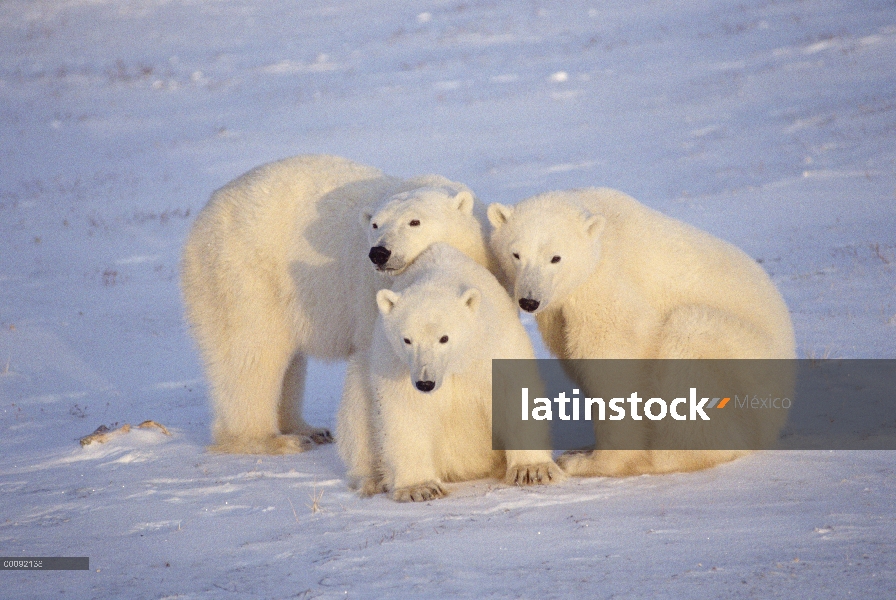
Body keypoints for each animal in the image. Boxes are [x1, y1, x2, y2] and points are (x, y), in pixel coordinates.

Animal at [179, 155, 494, 454]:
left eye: (414, 221)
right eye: (375, 225)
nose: (379, 252)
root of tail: (204, 216)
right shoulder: (371, 295)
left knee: (288, 362)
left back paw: (308, 429)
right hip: (244, 274)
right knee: (251, 352)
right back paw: (270, 440)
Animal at [334, 244, 560, 502]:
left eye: (444, 338)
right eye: (407, 339)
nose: (425, 383)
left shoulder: (491, 346)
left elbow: (513, 394)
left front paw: (532, 470)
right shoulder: (397, 363)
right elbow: (405, 410)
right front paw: (420, 488)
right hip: (363, 375)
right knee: (356, 410)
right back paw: (372, 481)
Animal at [486, 189, 796, 478]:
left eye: (555, 258)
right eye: (516, 254)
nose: (529, 301)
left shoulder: (607, 284)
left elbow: (614, 360)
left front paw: (592, 462)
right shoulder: (558, 311)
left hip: (747, 362)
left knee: (687, 335)